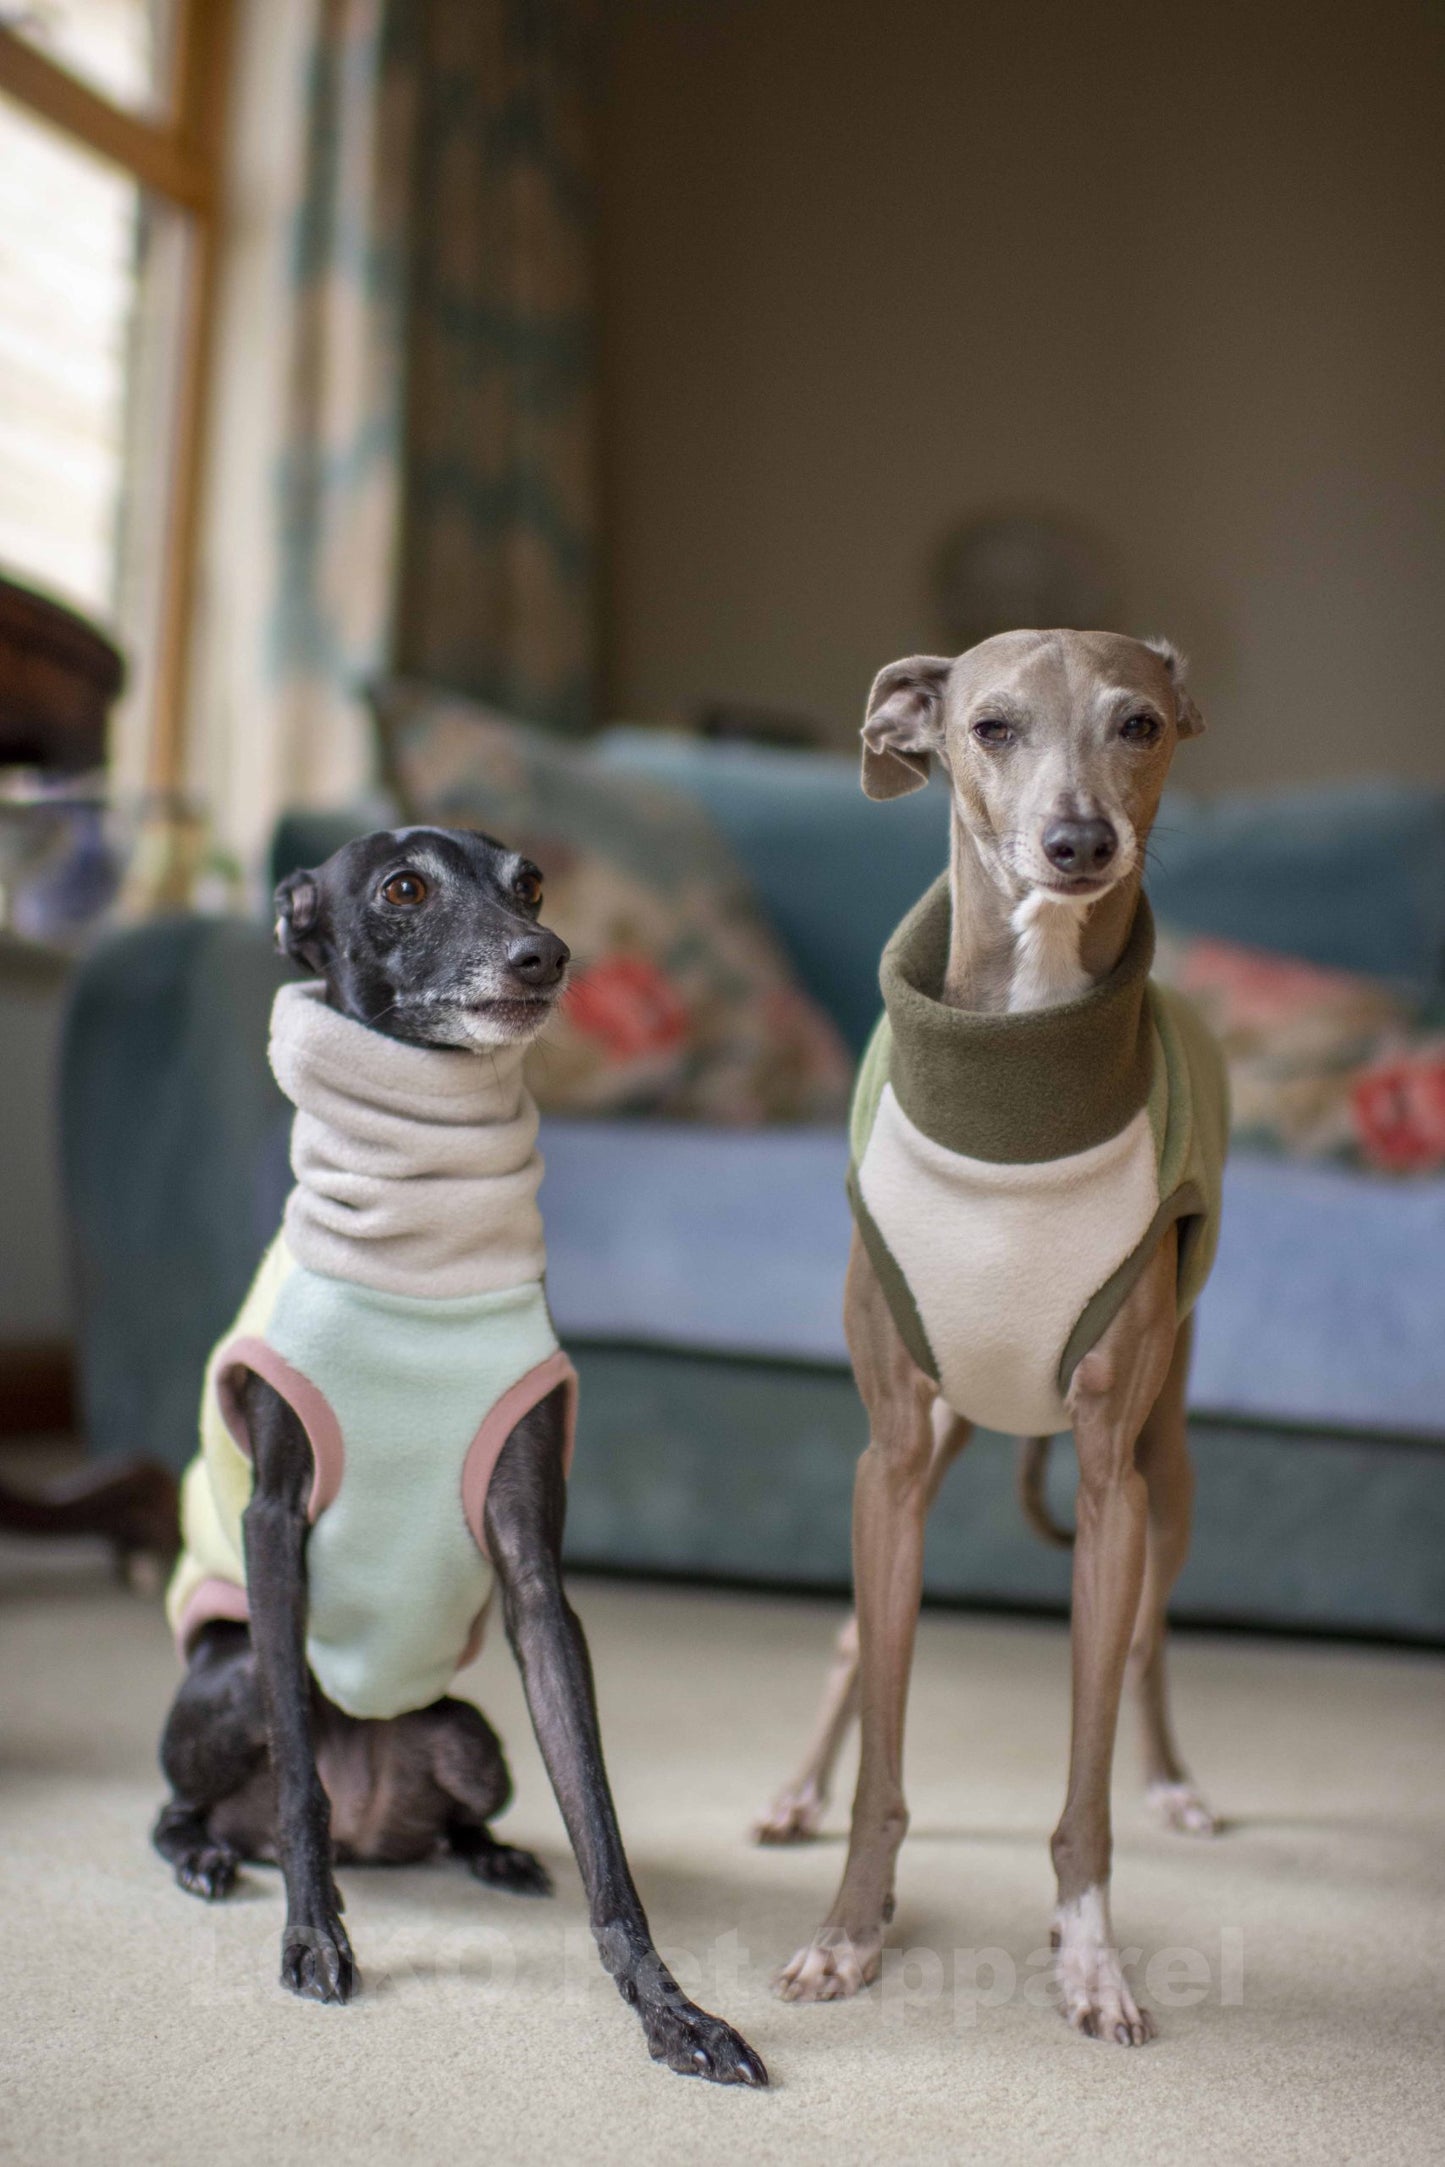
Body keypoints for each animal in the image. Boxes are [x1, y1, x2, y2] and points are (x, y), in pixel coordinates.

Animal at [762, 632, 1230, 2045]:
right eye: (990, 724)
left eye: (1138, 722)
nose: (1076, 842)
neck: (1018, 1056)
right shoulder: (888, 1460)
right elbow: (883, 1740)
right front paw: (848, 1932)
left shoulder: (1109, 1482)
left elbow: (1083, 1776)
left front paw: (1089, 1957)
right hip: (926, 1446)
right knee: (851, 1640)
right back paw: (794, 1792)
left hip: (1166, 1468)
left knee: (1146, 1642)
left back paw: (1175, 1781)